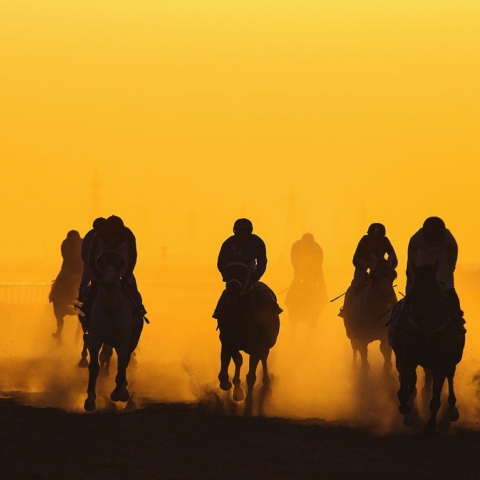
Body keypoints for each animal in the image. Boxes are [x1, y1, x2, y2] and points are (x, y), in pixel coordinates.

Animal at [83, 249, 143, 410]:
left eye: (119, 263)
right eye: (100, 261)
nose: (109, 281)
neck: (110, 310)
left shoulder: (123, 341)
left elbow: (121, 365)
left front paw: (118, 393)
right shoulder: (95, 338)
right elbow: (94, 365)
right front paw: (90, 399)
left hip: (134, 337)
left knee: (126, 359)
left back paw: (123, 389)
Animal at [216, 260, 280, 410]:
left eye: (243, 273)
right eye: (229, 271)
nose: (232, 289)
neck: (242, 314)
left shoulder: (257, 346)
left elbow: (251, 375)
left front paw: (249, 400)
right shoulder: (227, 339)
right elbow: (235, 359)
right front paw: (233, 387)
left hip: (266, 345)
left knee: (264, 358)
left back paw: (266, 385)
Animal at [390, 264, 464, 430]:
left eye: (436, 287)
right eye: (414, 289)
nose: (426, 317)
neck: (426, 332)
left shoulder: (440, 364)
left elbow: (435, 398)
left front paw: (430, 424)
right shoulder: (406, 359)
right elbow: (404, 388)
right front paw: (407, 410)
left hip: (452, 359)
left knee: (450, 375)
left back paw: (452, 409)